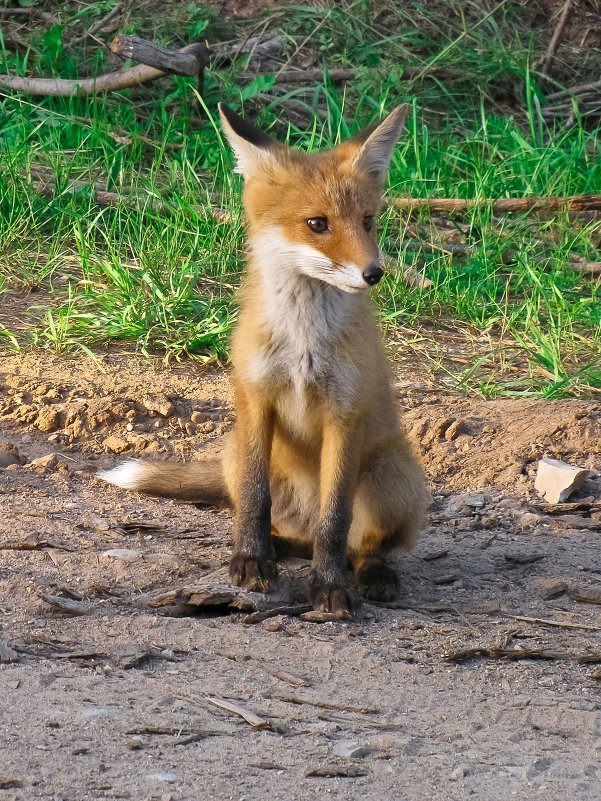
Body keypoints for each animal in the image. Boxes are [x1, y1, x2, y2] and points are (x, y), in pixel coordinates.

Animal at [99, 103, 426, 616]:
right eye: (318, 224)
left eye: (368, 221)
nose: (374, 273)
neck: (303, 344)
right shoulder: (256, 398)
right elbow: (254, 501)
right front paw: (251, 561)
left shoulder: (344, 414)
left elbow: (336, 520)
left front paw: (328, 585)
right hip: (236, 453)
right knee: (283, 525)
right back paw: (277, 548)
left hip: (391, 478)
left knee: (359, 546)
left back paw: (370, 573)